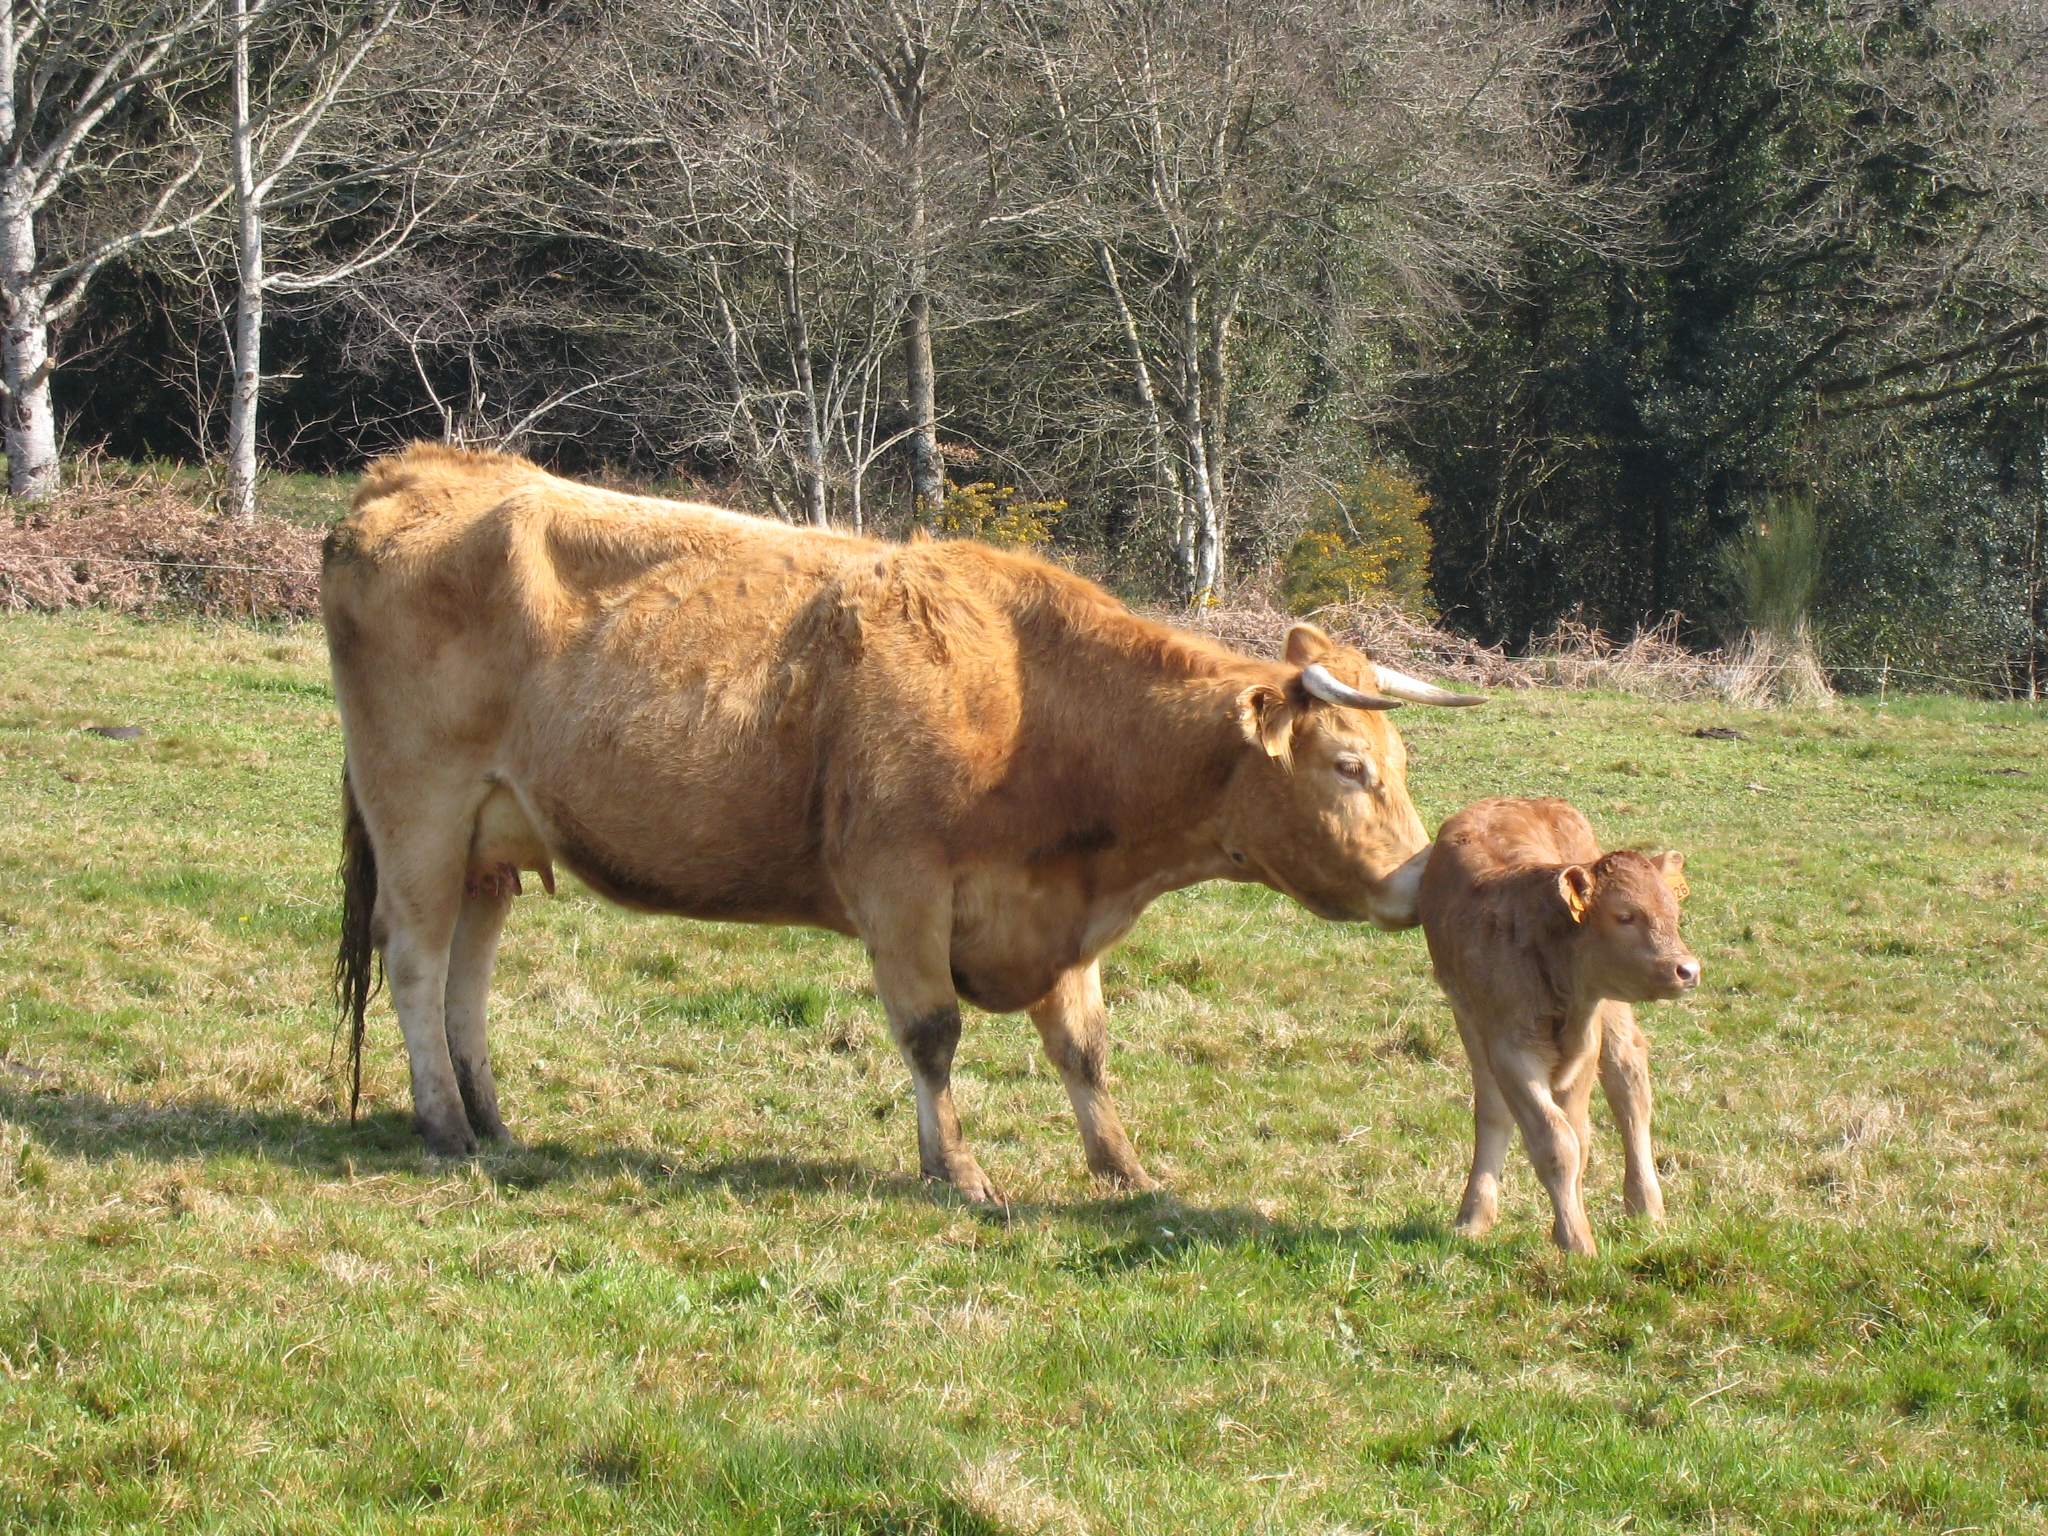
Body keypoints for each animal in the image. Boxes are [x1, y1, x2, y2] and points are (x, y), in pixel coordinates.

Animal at [322, 445, 1485, 1199]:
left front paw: (1123, 1168)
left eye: (1396, 765)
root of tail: (417, 470)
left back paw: (492, 1119)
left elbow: (1083, 1048)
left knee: (466, 971)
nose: (1415, 881)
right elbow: (933, 1034)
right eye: (1348, 767)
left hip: (491, 839)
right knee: (416, 961)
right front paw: (957, 1171)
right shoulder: (901, 888)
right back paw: (443, 1126)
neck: (1032, 702)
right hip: (418, 812)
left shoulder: (1057, 918)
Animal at [1418, 798, 1698, 1254]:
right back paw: (1474, 1215)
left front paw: (1573, 1234)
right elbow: (1556, 1140)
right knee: (1492, 1104)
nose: (1687, 970)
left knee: (1629, 1084)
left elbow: (1577, 1139)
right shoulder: (1507, 1046)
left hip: (1613, 1011)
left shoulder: (1586, 1041)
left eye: (1673, 913)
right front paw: (1576, 1238)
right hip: (1470, 1021)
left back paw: (1646, 1206)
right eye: (1625, 915)